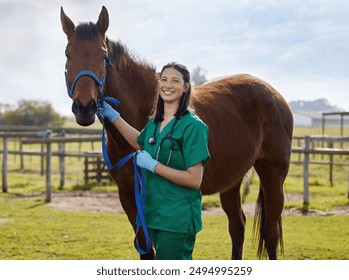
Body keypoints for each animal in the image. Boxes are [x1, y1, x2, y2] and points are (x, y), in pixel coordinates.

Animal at [60, 6, 294, 260]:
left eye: (103, 56)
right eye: (68, 54)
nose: (85, 107)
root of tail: (275, 95)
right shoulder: (128, 197)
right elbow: (146, 251)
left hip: (273, 175)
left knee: (270, 233)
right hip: (232, 180)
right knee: (237, 226)